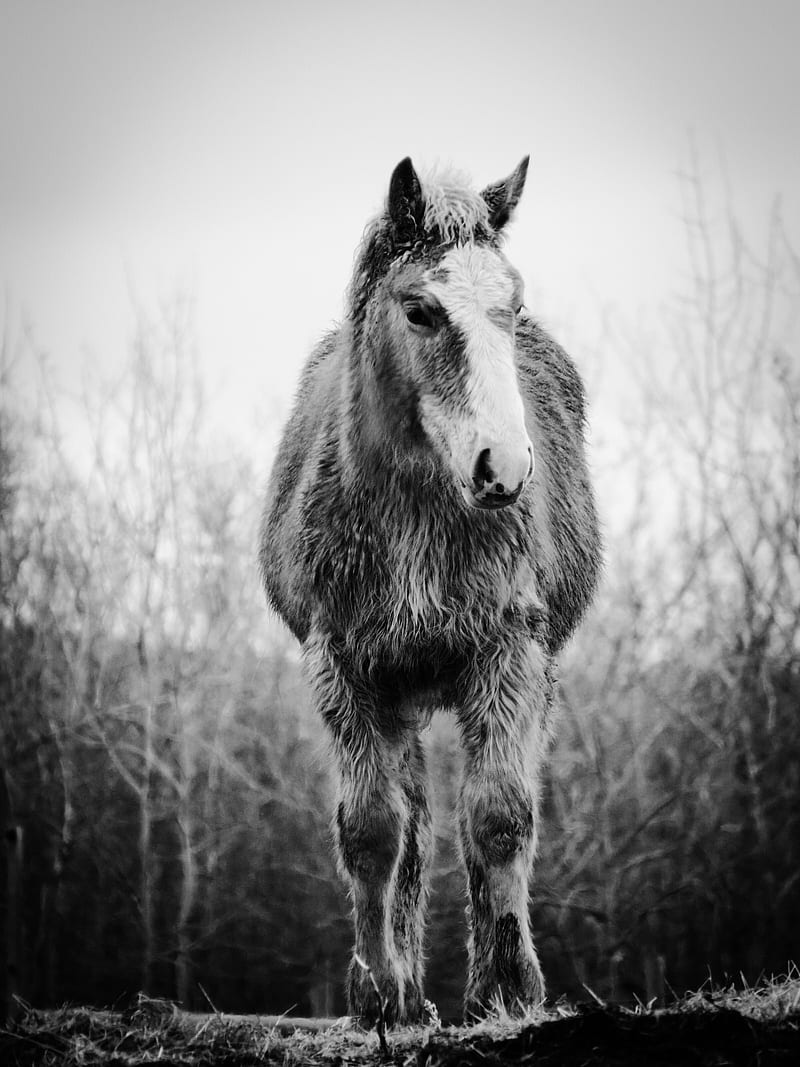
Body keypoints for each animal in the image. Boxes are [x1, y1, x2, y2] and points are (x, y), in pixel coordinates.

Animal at [261, 157, 601, 1024]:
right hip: (398, 696)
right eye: (419, 309)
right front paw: (381, 994)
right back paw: (409, 990)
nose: (504, 469)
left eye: (512, 305)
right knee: (410, 822)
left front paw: (508, 990)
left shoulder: (510, 654)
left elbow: (499, 818)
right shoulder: (345, 669)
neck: (419, 507)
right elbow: (374, 831)